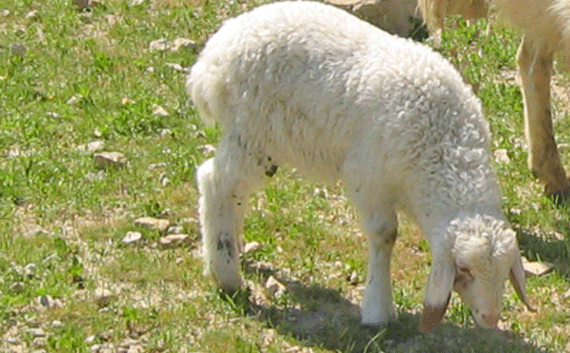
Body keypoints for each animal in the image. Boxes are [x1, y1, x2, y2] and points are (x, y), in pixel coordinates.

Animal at [187, 0, 532, 330]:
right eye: (464, 269)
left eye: (505, 272)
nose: (491, 318)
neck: (443, 145)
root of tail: (210, 61)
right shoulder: (367, 176)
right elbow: (385, 234)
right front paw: (379, 309)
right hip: (252, 132)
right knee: (216, 183)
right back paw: (226, 273)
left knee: (232, 192)